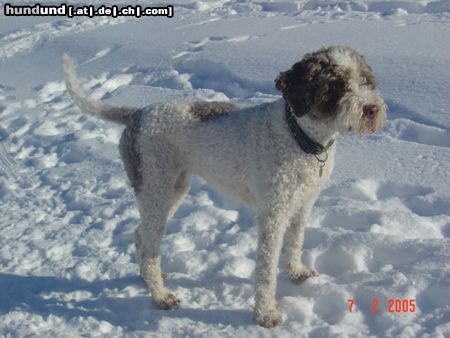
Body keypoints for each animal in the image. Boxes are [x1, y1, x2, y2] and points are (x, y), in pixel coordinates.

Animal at [63, 45, 386, 328]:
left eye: (365, 80)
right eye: (335, 85)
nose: (372, 109)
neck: (298, 136)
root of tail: (135, 115)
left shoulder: (302, 204)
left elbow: (295, 243)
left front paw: (296, 273)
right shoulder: (273, 213)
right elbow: (265, 270)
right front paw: (266, 315)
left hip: (172, 189)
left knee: (141, 234)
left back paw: (148, 278)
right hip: (156, 188)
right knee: (150, 245)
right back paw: (160, 297)